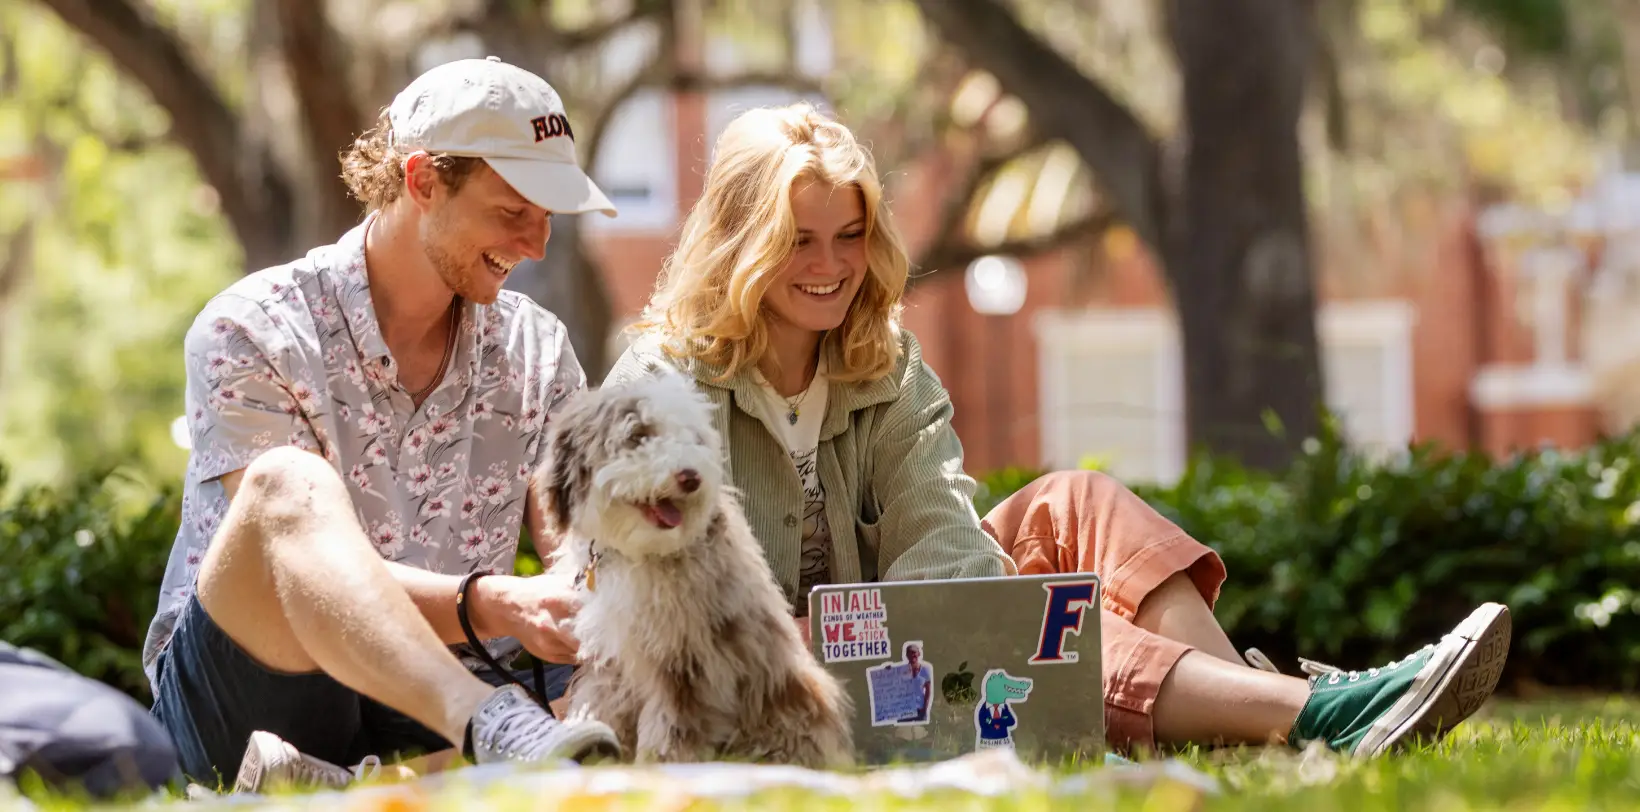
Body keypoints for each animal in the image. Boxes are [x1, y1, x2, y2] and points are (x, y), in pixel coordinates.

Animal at [531, 375, 859, 767]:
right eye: (638, 435)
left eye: (691, 438)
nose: (690, 477)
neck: (638, 552)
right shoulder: (611, 658)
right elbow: (600, 705)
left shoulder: (688, 664)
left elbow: (670, 730)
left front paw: (655, 768)